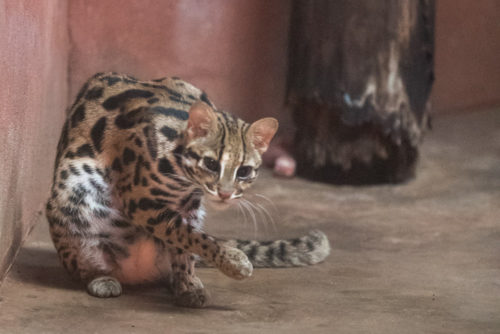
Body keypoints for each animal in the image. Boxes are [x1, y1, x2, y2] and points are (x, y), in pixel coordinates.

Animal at [45, 72, 330, 308]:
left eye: (244, 171)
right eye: (212, 164)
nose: (225, 194)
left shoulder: (189, 206)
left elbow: (185, 242)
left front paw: (188, 285)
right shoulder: (139, 200)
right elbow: (190, 235)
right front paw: (232, 262)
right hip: (71, 196)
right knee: (82, 262)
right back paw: (100, 278)